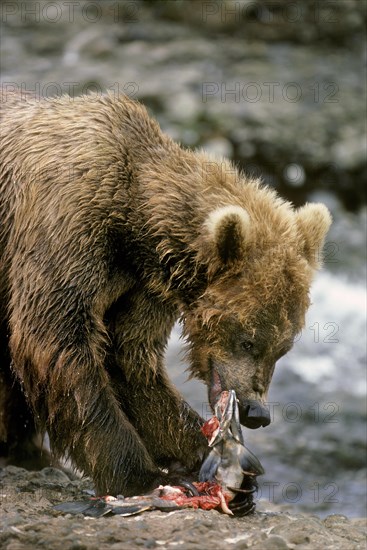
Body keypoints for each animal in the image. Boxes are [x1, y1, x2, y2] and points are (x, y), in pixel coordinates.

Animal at [0, 90, 334, 496]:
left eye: (283, 348)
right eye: (248, 340)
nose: (258, 412)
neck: (133, 224)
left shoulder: (141, 286)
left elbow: (130, 358)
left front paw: (205, 453)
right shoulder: (64, 233)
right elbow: (57, 342)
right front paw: (138, 474)